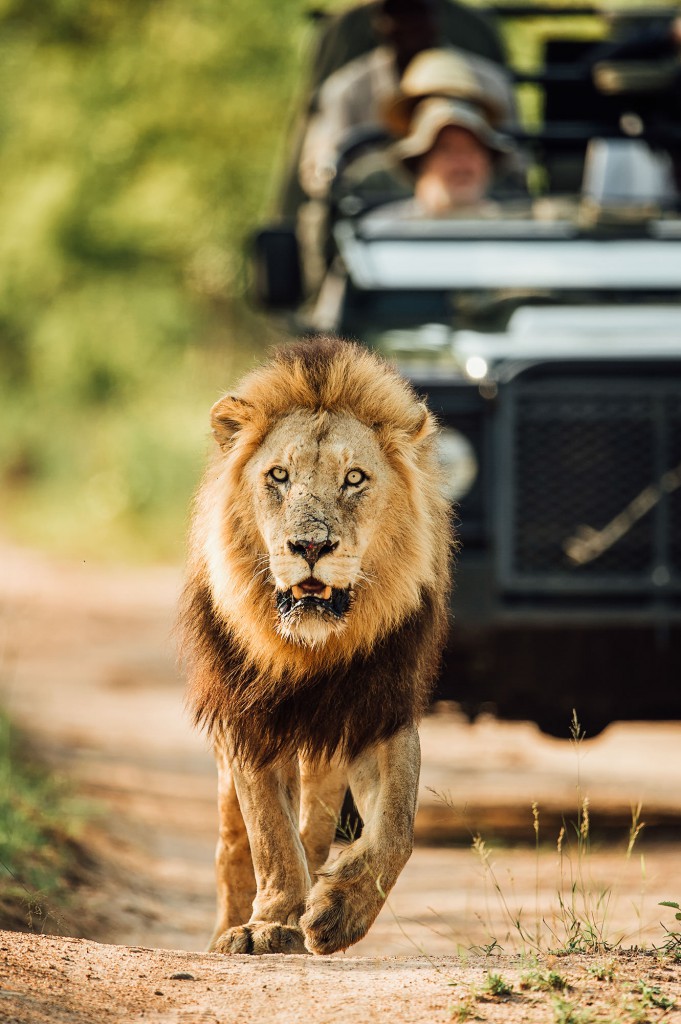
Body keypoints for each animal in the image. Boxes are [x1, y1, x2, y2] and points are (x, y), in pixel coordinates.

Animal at [179, 335, 453, 955]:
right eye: (278, 475)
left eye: (354, 478)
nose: (309, 545)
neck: (313, 649)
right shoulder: (248, 718)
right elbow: (269, 835)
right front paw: (270, 924)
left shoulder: (378, 708)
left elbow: (396, 826)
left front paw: (338, 912)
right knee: (234, 844)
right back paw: (232, 923)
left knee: (318, 823)